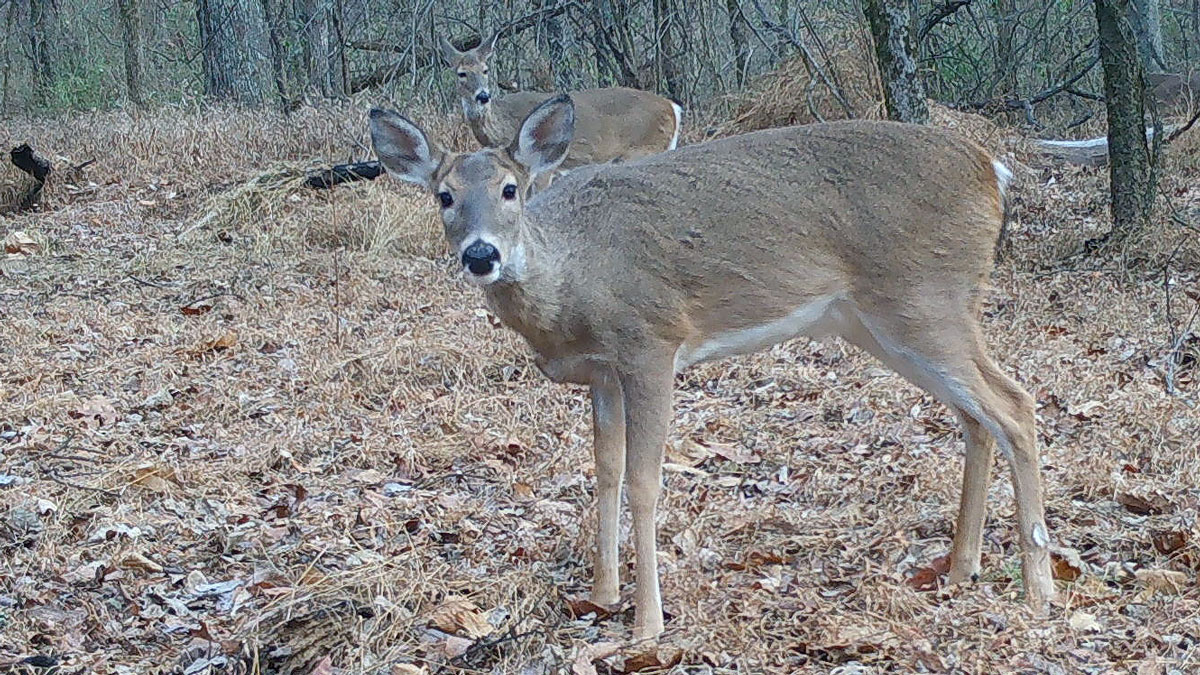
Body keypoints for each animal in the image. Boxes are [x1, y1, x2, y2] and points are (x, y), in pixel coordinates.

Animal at [368, 95, 1056, 639]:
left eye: (510, 190)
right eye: (444, 197)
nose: (481, 255)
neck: (574, 278)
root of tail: (993, 170)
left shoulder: (651, 344)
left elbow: (645, 481)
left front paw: (647, 622)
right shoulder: (602, 373)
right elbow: (606, 472)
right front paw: (602, 594)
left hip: (924, 297)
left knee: (1015, 405)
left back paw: (1039, 590)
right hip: (882, 321)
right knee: (976, 417)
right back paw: (961, 568)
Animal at [439, 33, 682, 178]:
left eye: (485, 70)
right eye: (461, 73)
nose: (483, 96)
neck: (503, 128)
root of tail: (672, 107)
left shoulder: (544, 169)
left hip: (644, 149)